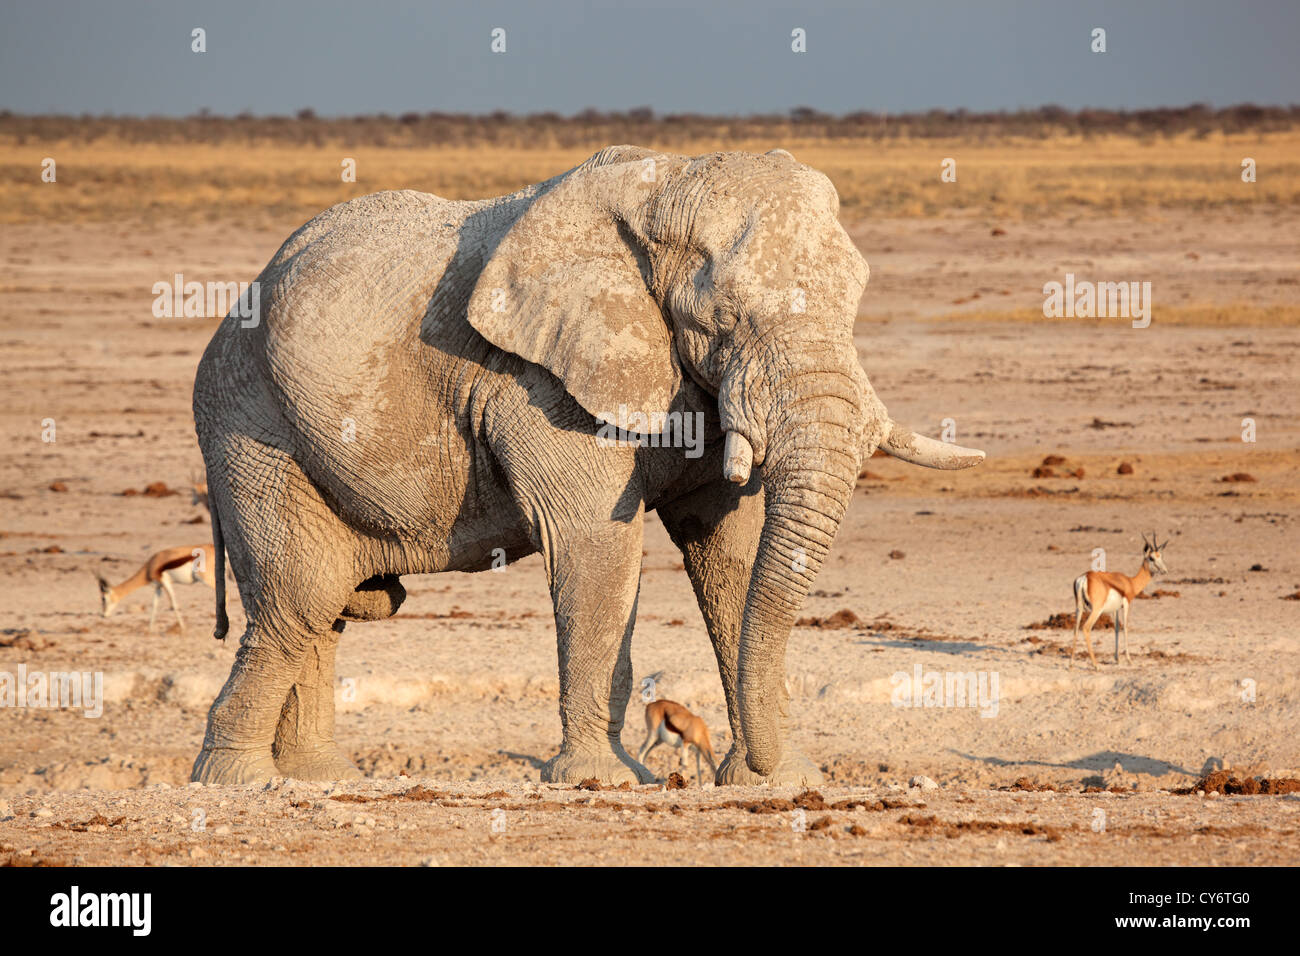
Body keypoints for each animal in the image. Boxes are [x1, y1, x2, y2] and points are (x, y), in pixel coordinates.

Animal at [189, 141, 982, 785]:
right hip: (248, 424)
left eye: (856, 301)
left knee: (325, 611)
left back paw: (319, 779)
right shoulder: (543, 386)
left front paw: (781, 781)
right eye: (720, 320)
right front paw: (605, 780)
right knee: (300, 599)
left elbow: (727, 555)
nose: (755, 764)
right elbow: (596, 548)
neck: (667, 183)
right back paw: (237, 780)